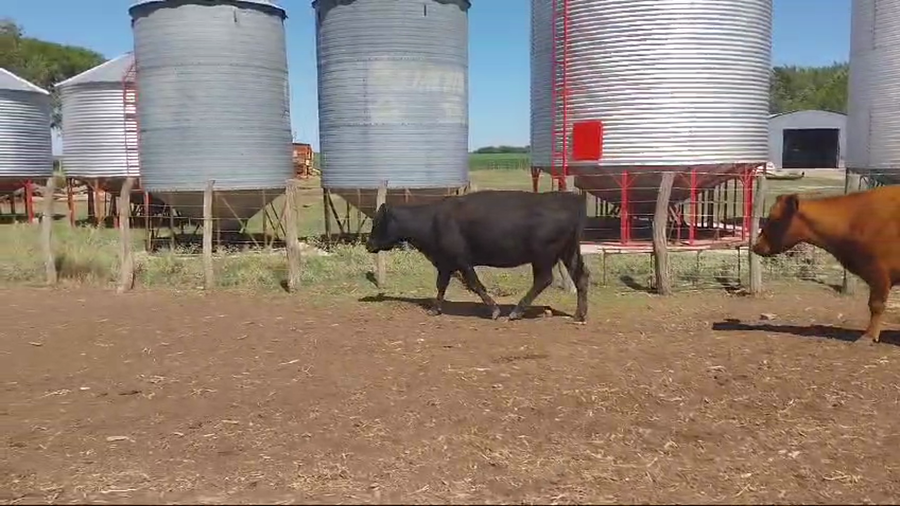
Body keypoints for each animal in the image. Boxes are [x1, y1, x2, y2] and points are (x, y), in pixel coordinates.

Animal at [365, 190, 590, 322]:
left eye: (376, 222)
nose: (368, 245)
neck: (432, 220)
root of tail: (569, 199)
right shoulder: (445, 263)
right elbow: (441, 286)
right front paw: (435, 309)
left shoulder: (462, 261)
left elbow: (475, 284)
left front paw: (495, 310)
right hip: (569, 253)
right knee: (581, 277)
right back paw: (579, 315)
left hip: (543, 256)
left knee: (544, 280)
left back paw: (516, 312)